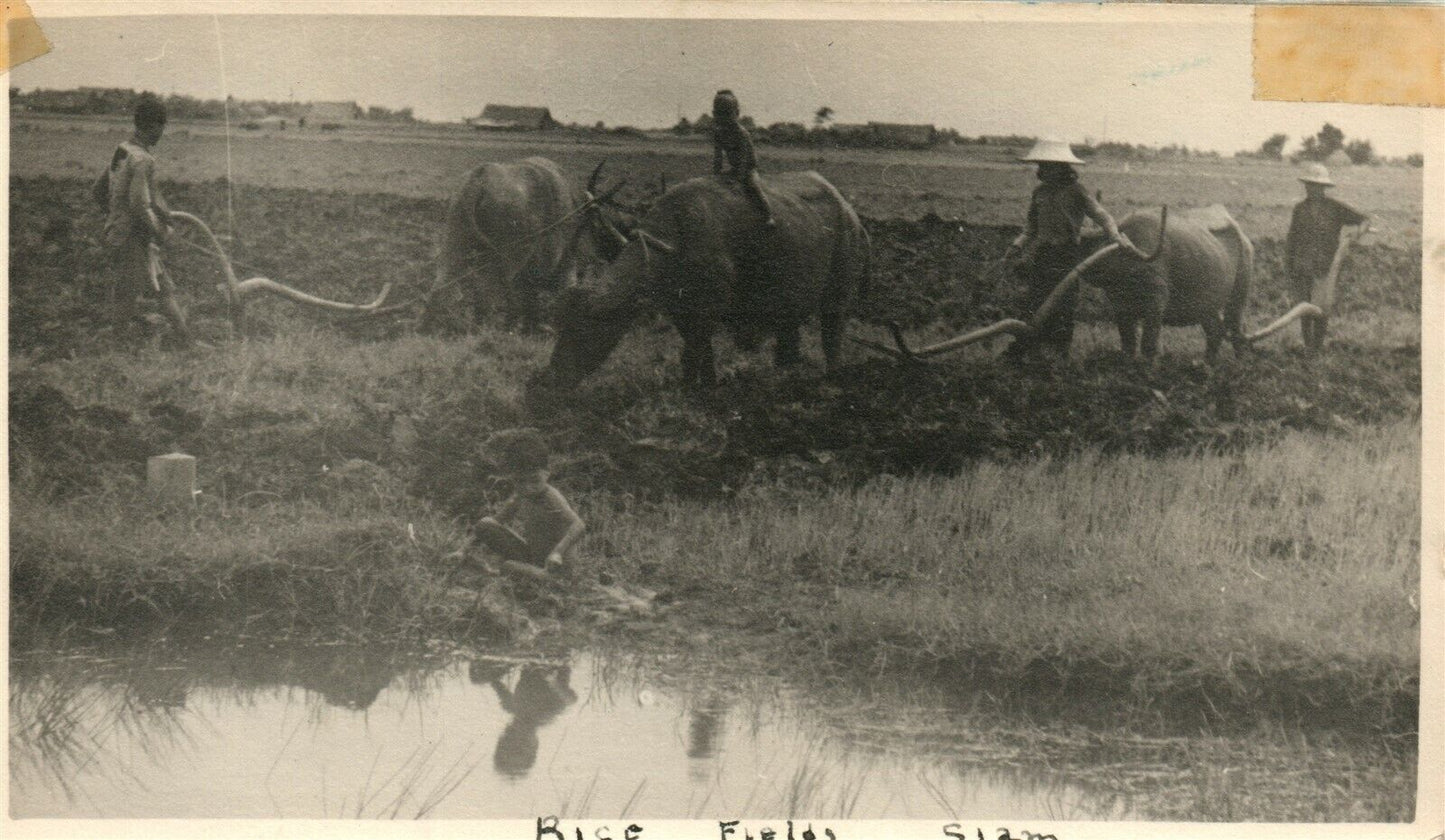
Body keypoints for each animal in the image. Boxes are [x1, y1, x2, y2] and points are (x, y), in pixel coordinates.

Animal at [419, 157, 632, 331]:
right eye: (601, 225)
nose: (620, 246)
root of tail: (481, 178)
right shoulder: (564, 265)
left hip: (454, 242)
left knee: (441, 284)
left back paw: (427, 327)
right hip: (509, 258)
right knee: (488, 293)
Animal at [531, 171, 867, 393]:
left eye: (587, 328)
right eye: (563, 322)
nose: (544, 384)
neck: (678, 241)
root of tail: (851, 214)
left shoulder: (707, 310)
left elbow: (699, 349)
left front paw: (705, 387)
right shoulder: (680, 308)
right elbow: (691, 351)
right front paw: (690, 383)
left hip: (840, 286)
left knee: (832, 331)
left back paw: (832, 375)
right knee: (789, 331)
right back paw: (785, 368)